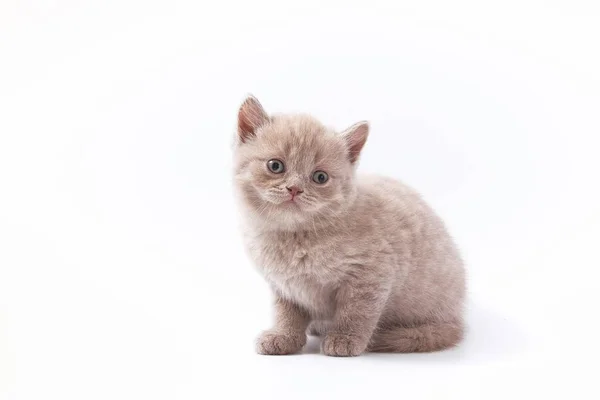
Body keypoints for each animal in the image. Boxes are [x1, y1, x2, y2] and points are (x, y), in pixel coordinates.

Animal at [232, 96, 466, 356]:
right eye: (275, 166)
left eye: (320, 177)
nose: (294, 189)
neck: (295, 236)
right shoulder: (284, 285)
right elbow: (286, 312)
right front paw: (284, 336)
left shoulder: (371, 275)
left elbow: (356, 311)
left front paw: (344, 338)